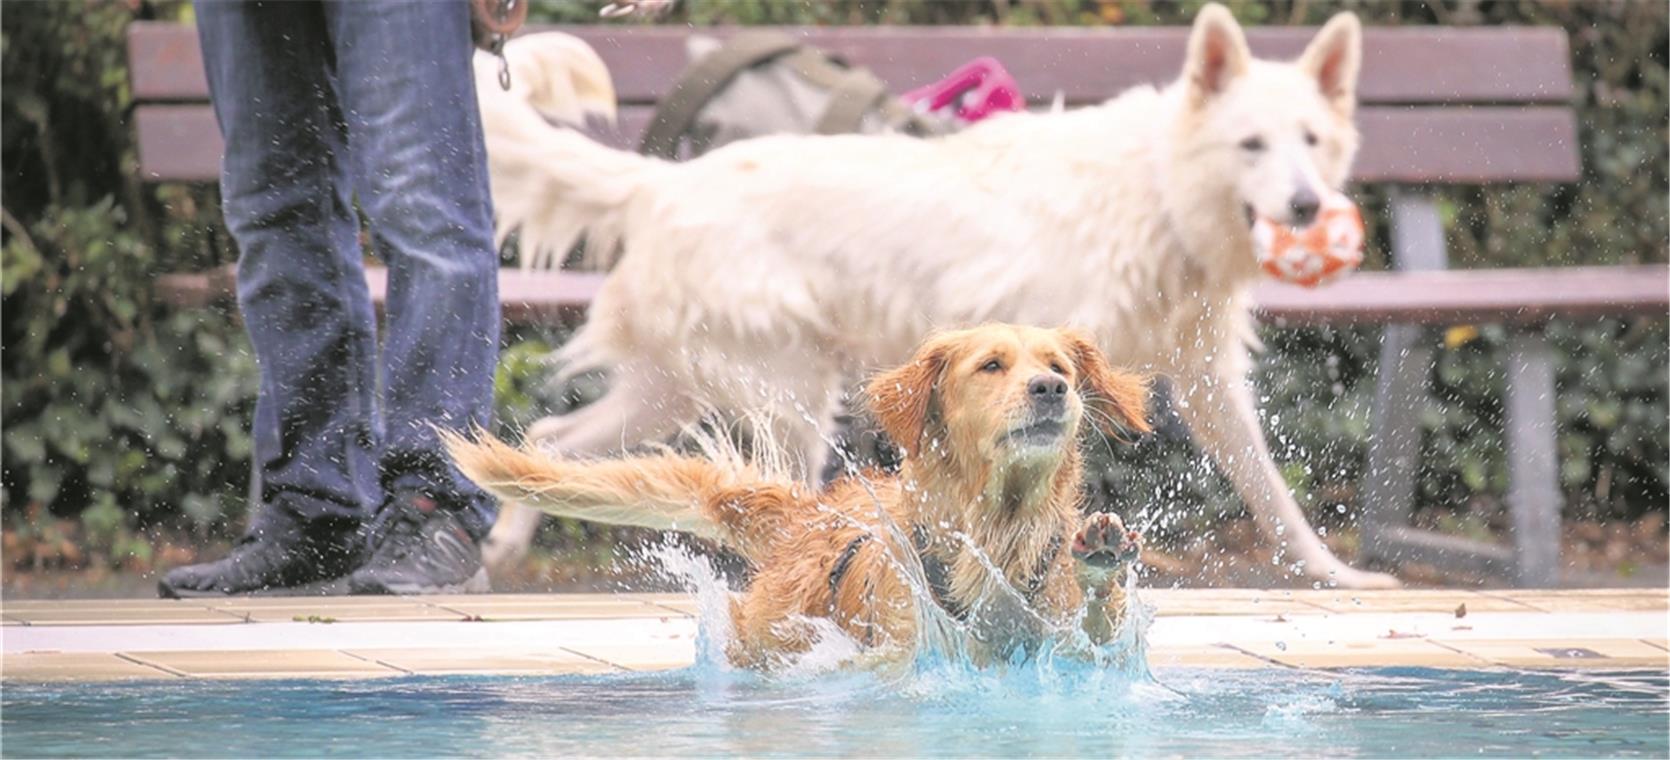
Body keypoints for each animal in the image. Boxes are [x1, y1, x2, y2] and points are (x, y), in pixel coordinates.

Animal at [474, 4, 1396, 587]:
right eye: (1252, 145)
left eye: (1312, 141)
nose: (1307, 206)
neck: (1159, 189)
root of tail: (661, 182)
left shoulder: (1207, 378)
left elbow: (1270, 489)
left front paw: (1334, 574)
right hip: (786, 399)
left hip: (677, 390)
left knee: (554, 436)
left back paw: (507, 537)